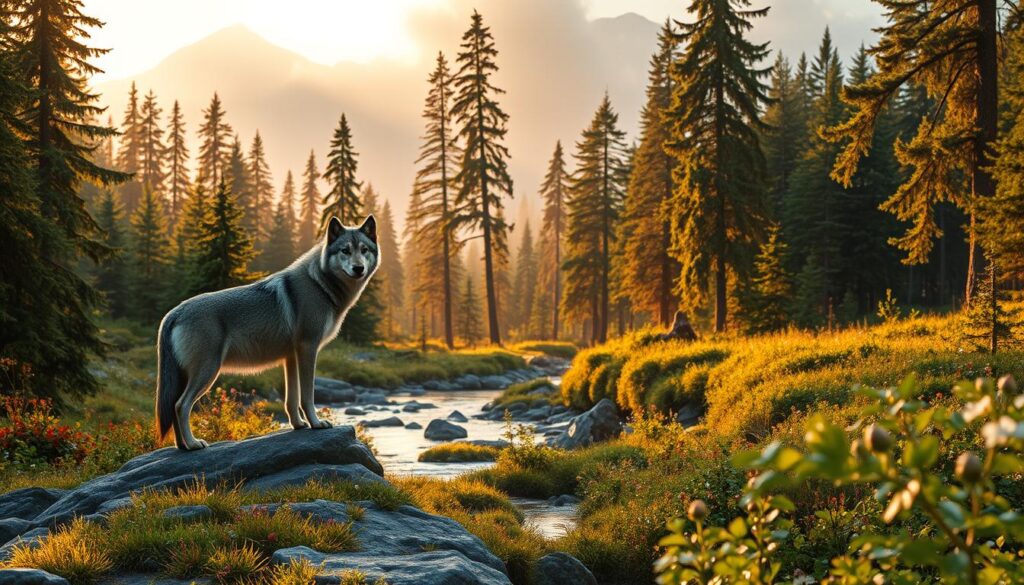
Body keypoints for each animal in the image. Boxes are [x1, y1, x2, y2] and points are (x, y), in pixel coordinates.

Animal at [155, 215, 379, 450]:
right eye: (345, 250)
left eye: (364, 250)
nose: (358, 268)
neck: (320, 285)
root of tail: (174, 312)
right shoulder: (308, 349)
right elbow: (307, 396)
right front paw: (316, 423)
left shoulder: (291, 357)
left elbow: (291, 399)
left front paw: (299, 425)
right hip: (208, 372)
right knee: (181, 405)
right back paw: (193, 444)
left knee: (173, 406)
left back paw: (182, 447)